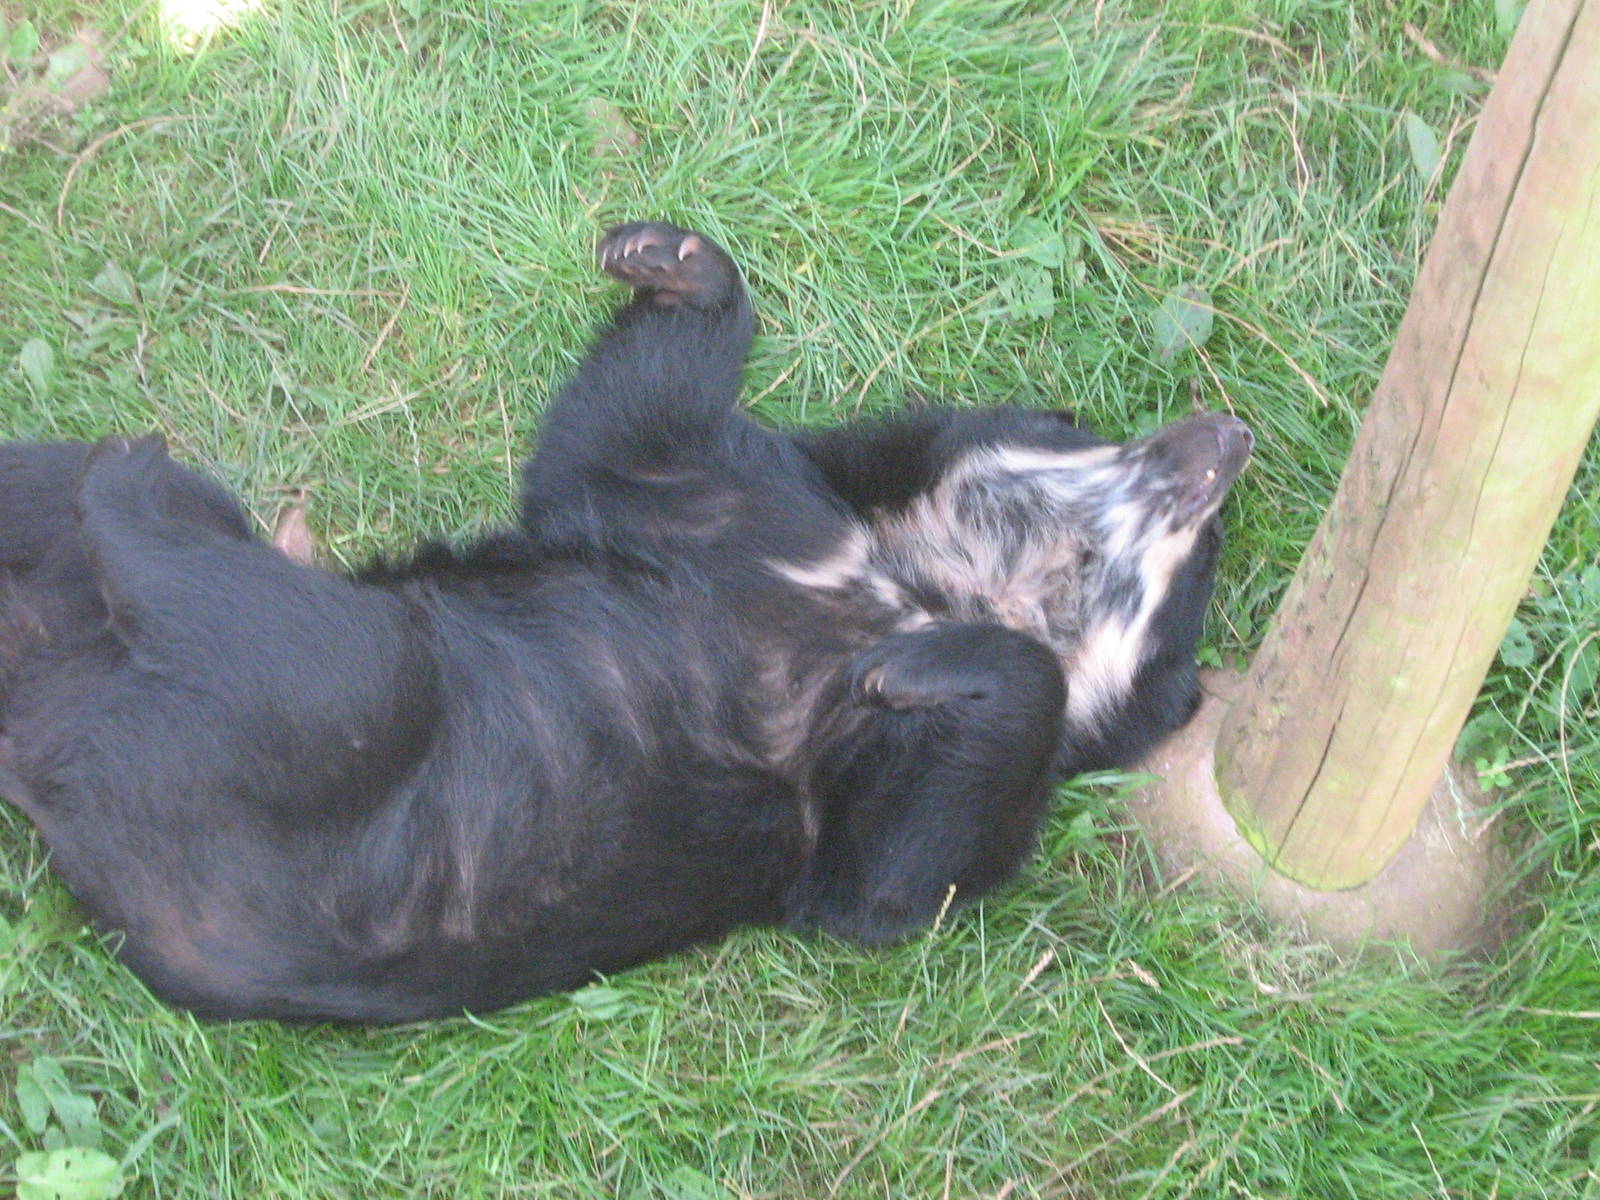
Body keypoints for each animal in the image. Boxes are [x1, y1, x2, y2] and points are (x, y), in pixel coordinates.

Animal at [0, 221, 1250, 1022]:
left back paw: (132, 480)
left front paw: (915, 674)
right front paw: (669, 257)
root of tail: (48, 767)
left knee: (261, 617)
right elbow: (617, 437)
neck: (914, 576)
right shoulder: (748, 504)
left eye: (1193, 577)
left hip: (324, 709)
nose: (1229, 436)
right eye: (1088, 431)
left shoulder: (858, 799)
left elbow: (891, 875)